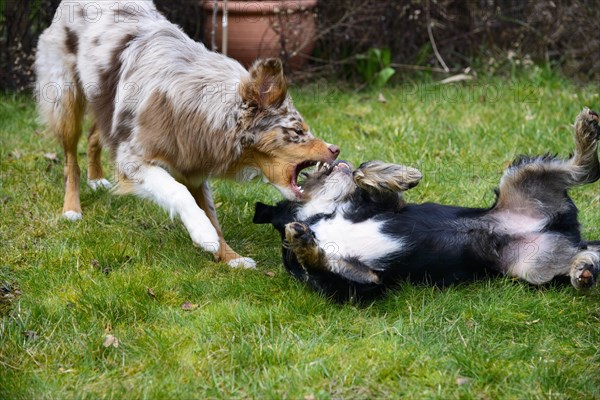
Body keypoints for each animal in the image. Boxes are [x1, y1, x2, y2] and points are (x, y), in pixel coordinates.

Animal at [36, 1, 338, 268]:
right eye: (298, 130)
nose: (336, 149)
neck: (202, 108)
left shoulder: (192, 162)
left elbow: (211, 213)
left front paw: (231, 257)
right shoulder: (133, 159)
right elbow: (177, 192)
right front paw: (204, 236)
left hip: (106, 105)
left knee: (95, 135)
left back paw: (97, 178)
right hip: (65, 98)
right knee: (70, 157)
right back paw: (72, 208)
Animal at [254, 108, 600, 302]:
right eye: (308, 172)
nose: (337, 155)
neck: (319, 214)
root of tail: (567, 231)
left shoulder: (386, 206)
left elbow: (364, 174)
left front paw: (399, 174)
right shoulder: (360, 283)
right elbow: (320, 263)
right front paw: (301, 241)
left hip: (521, 177)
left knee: (581, 169)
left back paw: (585, 132)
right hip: (532, 266)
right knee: (578, 246)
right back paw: (582, 270)